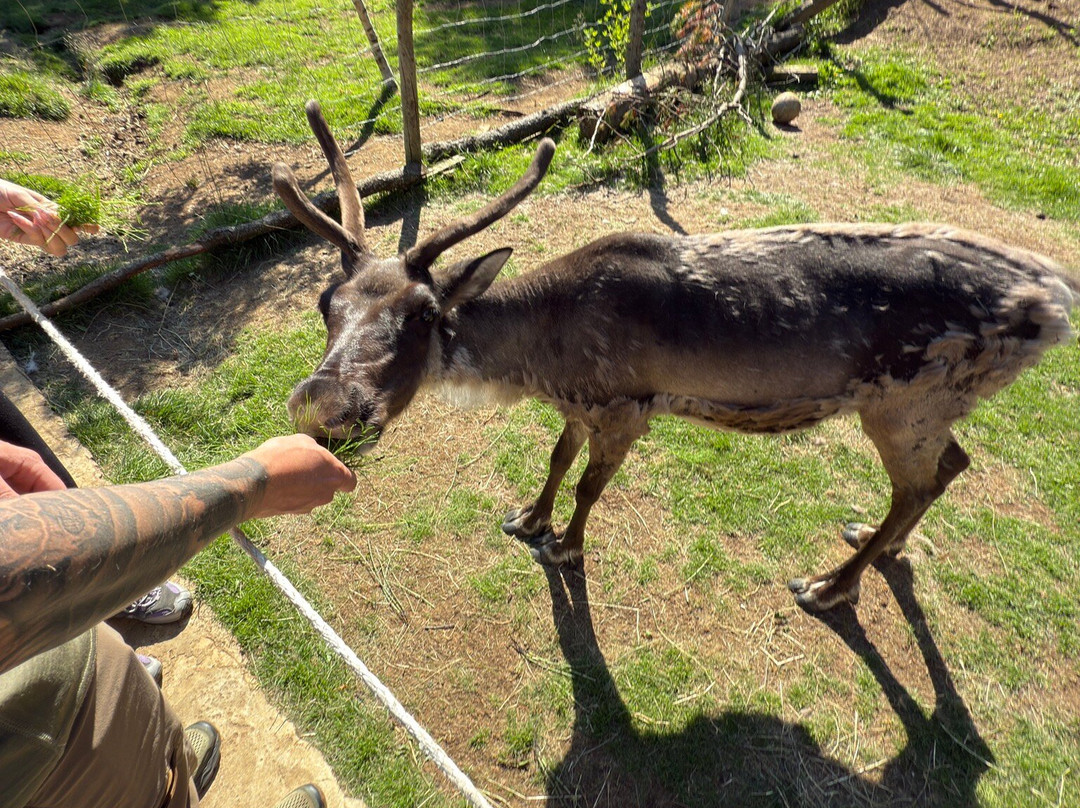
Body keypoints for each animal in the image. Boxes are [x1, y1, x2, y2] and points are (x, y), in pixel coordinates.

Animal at [273, 100, 1075, 612]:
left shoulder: (630, 404)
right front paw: (528, 519)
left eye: (423, 315)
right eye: (325, 303)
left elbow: (589, 487)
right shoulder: (580, 401)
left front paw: (565, 546)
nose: (323, 405)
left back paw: (829, 585)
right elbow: (556, 459)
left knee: (918, 482)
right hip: (935, 404)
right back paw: (881, 549)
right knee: (953, 464)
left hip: (906, 400)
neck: (542, 359)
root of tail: (1054, 304)